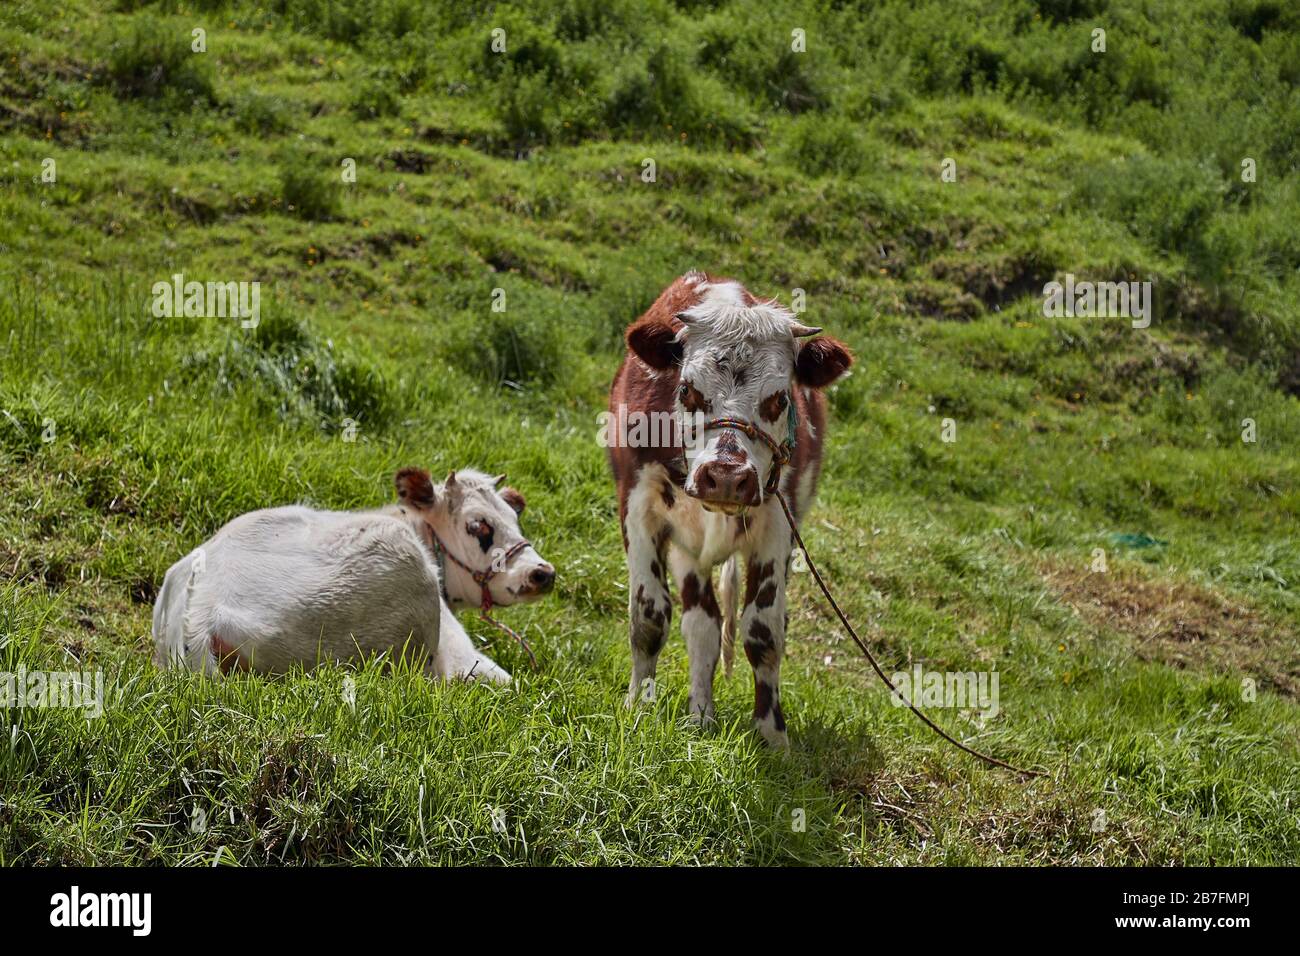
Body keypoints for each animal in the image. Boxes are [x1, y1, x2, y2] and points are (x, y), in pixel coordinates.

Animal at [608, 270, 852, 749]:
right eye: (687, 389)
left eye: (780, 397)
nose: (724, 475)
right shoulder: (639, 508)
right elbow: (649, 617)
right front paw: (638, 708)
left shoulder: (779, 524)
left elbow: (763, 630)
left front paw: (772, 735)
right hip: (688, 548)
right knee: (701, 625)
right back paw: (700, 715)